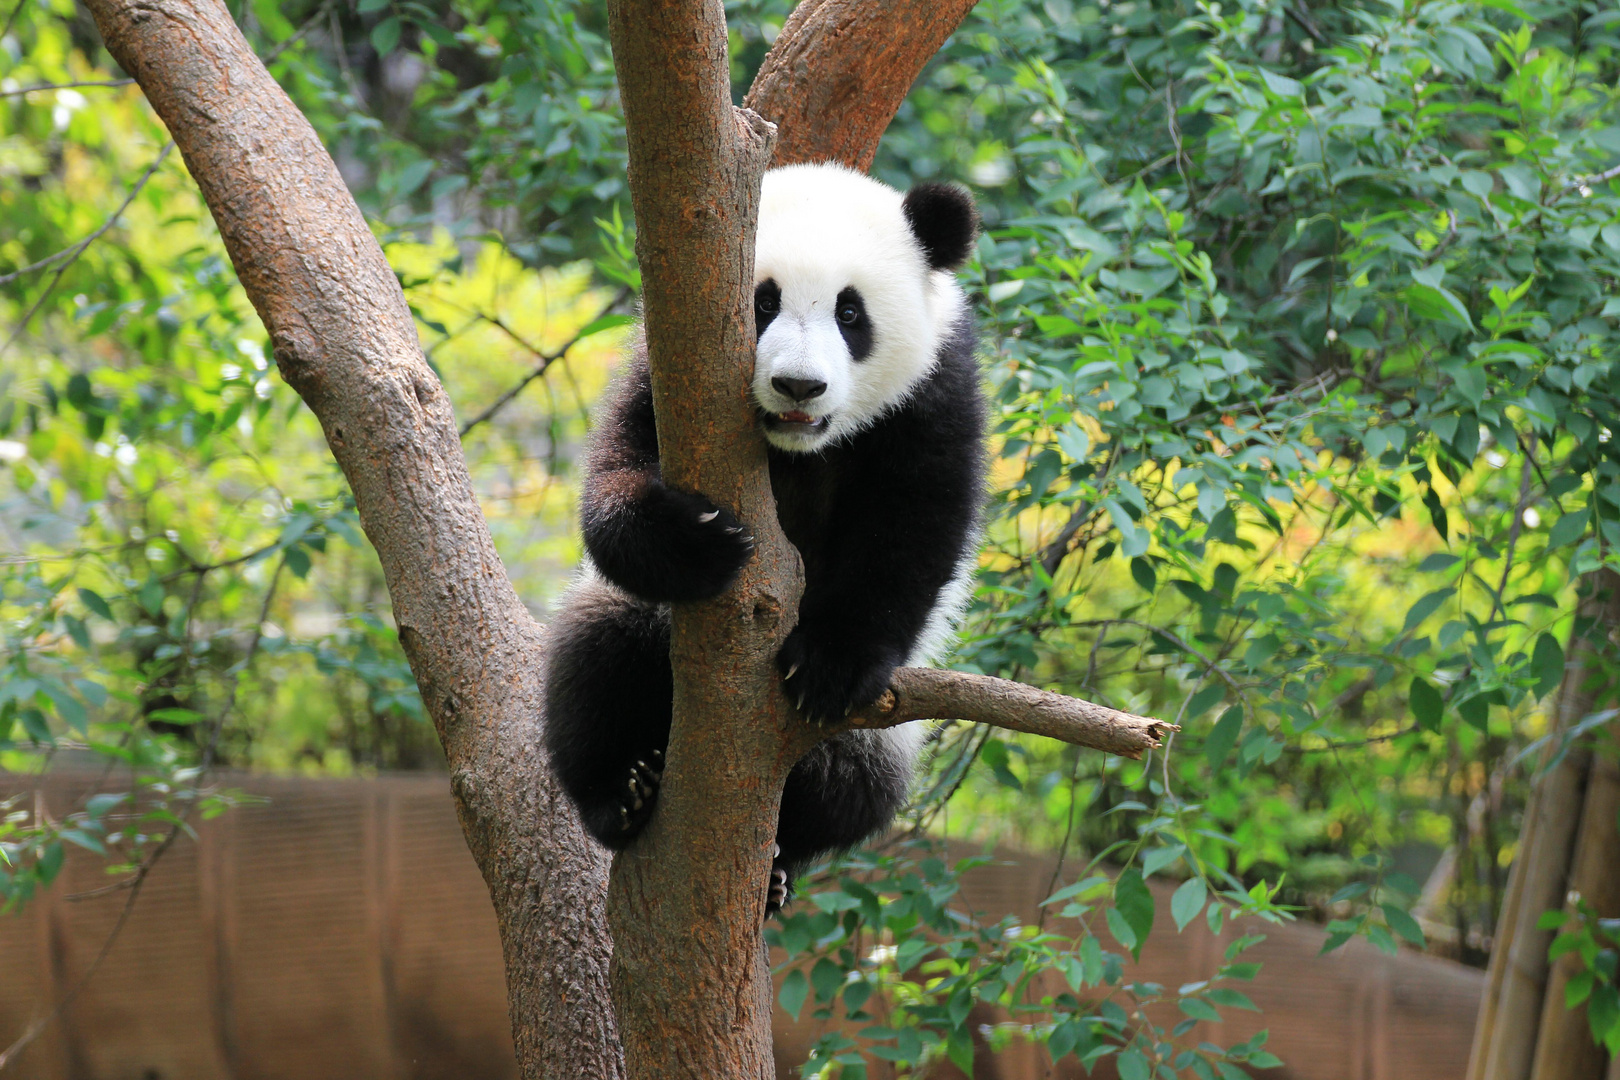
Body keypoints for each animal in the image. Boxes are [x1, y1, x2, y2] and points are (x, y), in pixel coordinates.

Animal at [544, 162, 984, 913]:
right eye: (763, 303)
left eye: (849, 313)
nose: (798, 386)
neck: (798, 448)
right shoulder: (662, 374)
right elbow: (614, 470)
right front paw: (695, 541)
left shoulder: (933, 393)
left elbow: (913, 527)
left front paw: (831, 664)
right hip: (628, 642)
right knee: (597, 656)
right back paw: (623, 792)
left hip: (882, 735)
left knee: (856, 783)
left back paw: (779, 864)